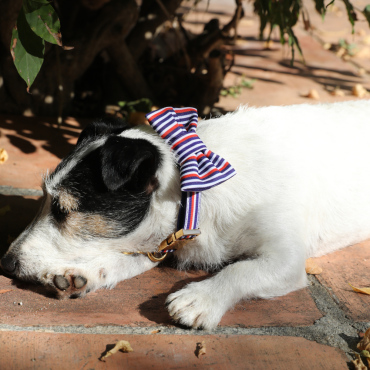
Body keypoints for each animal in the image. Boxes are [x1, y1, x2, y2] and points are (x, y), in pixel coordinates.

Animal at [1, 99, 368, 330]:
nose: (5, 264)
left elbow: (243, 269)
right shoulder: (159, 242)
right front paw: (85, 272)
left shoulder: (285, 259)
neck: (196, 192)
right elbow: (127, 258)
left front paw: (202, 298)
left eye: (63, 210)